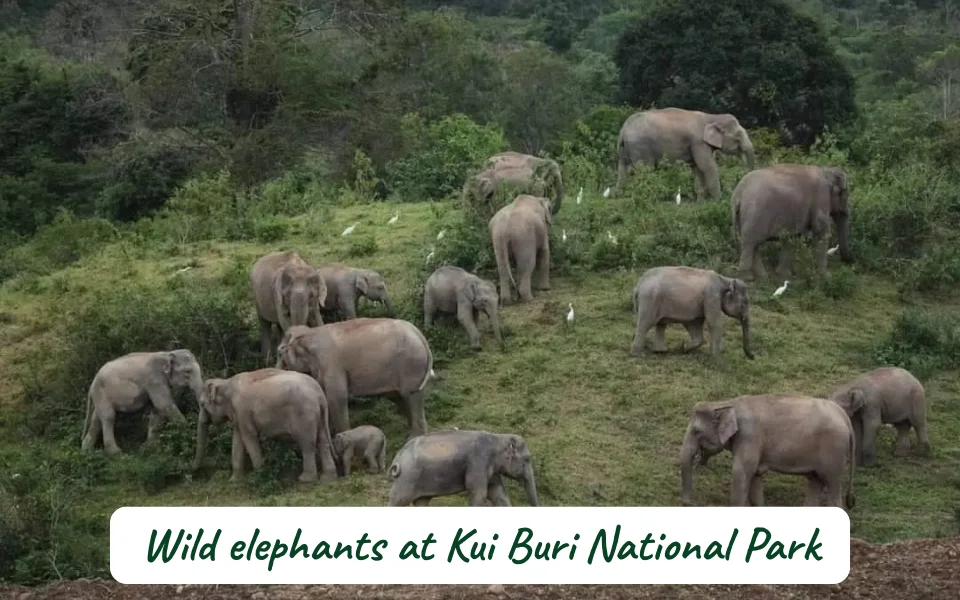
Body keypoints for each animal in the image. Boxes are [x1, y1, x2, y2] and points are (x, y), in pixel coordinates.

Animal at [192, 368, 338, 483]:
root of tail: (320, 394)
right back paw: (328, 478)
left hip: (304, 415)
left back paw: (305, 479)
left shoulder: (242, 410)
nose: (192, 470)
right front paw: (234, 481)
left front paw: (258, 477)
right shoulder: (239, 415)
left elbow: (249, 438)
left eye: (202, 404)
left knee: (307, 443)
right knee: (323, 441)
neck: (226, 383)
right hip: (318, 416)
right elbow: (237, 440)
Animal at [275, 318, 434, 438]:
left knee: (412, 395)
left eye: (279, 354)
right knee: (398, 396)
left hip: (411, 364)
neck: (310, 332)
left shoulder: (332, 363)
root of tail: (419, 334)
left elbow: (337, 397)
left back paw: (415, 437)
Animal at [387, 429, 539, 507]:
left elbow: (498, 495)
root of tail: (398, 457)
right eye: (527, 459)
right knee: (398, 500)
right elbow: (479, 493)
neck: (498, 437)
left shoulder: (491, 469)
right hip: (407, 478)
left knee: (421, 501)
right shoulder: (478, 461)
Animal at [614, 108, 755, 201]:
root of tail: (624, 130)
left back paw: (620, 196)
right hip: (640, 146)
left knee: (623, 168)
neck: (712, 117)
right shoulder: (698, 142)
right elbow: (707, 166)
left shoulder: (696, 145)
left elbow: (697, 168)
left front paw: (702, 202)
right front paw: (718, 201)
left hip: (625, 148)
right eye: (738, 135)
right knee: (646, 169)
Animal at [680, 394, 856, 509]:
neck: (728, 403)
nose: (687, 503)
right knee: (815, 481)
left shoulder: (750, 437)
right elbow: (755, 480)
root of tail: (845, 416)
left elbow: (740, 474)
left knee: (832, 485)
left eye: (696, 431)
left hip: (834, 452)